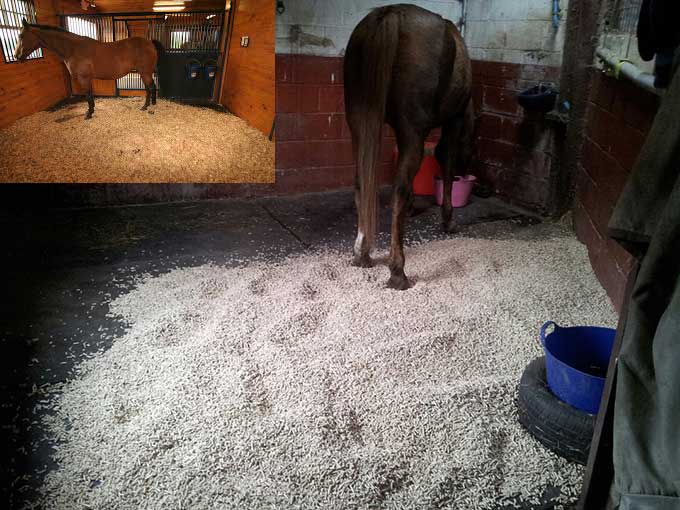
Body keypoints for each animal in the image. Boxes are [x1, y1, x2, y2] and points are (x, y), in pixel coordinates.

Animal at [13, 19, 163, 120]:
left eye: (21, 36)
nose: (17, 56)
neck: (73, 49)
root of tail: (149, 42)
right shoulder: (88, 79)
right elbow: (90, 94)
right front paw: (92, 110)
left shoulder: (83, 78)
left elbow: (88, 95)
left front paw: (88, 114)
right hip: (144, 73)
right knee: (149, 88)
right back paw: (149, 105)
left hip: (145, 72)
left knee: (150, 87)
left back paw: (147, 106)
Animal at [346, 2, 472, 290]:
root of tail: (392, 13)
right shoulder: (454, 120)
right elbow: (446, 162)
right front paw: (448, 219)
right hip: (412, 129)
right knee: (399, 190)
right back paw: (397, 271)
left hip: (359, 124)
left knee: (361, 181)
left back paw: (362, 253)